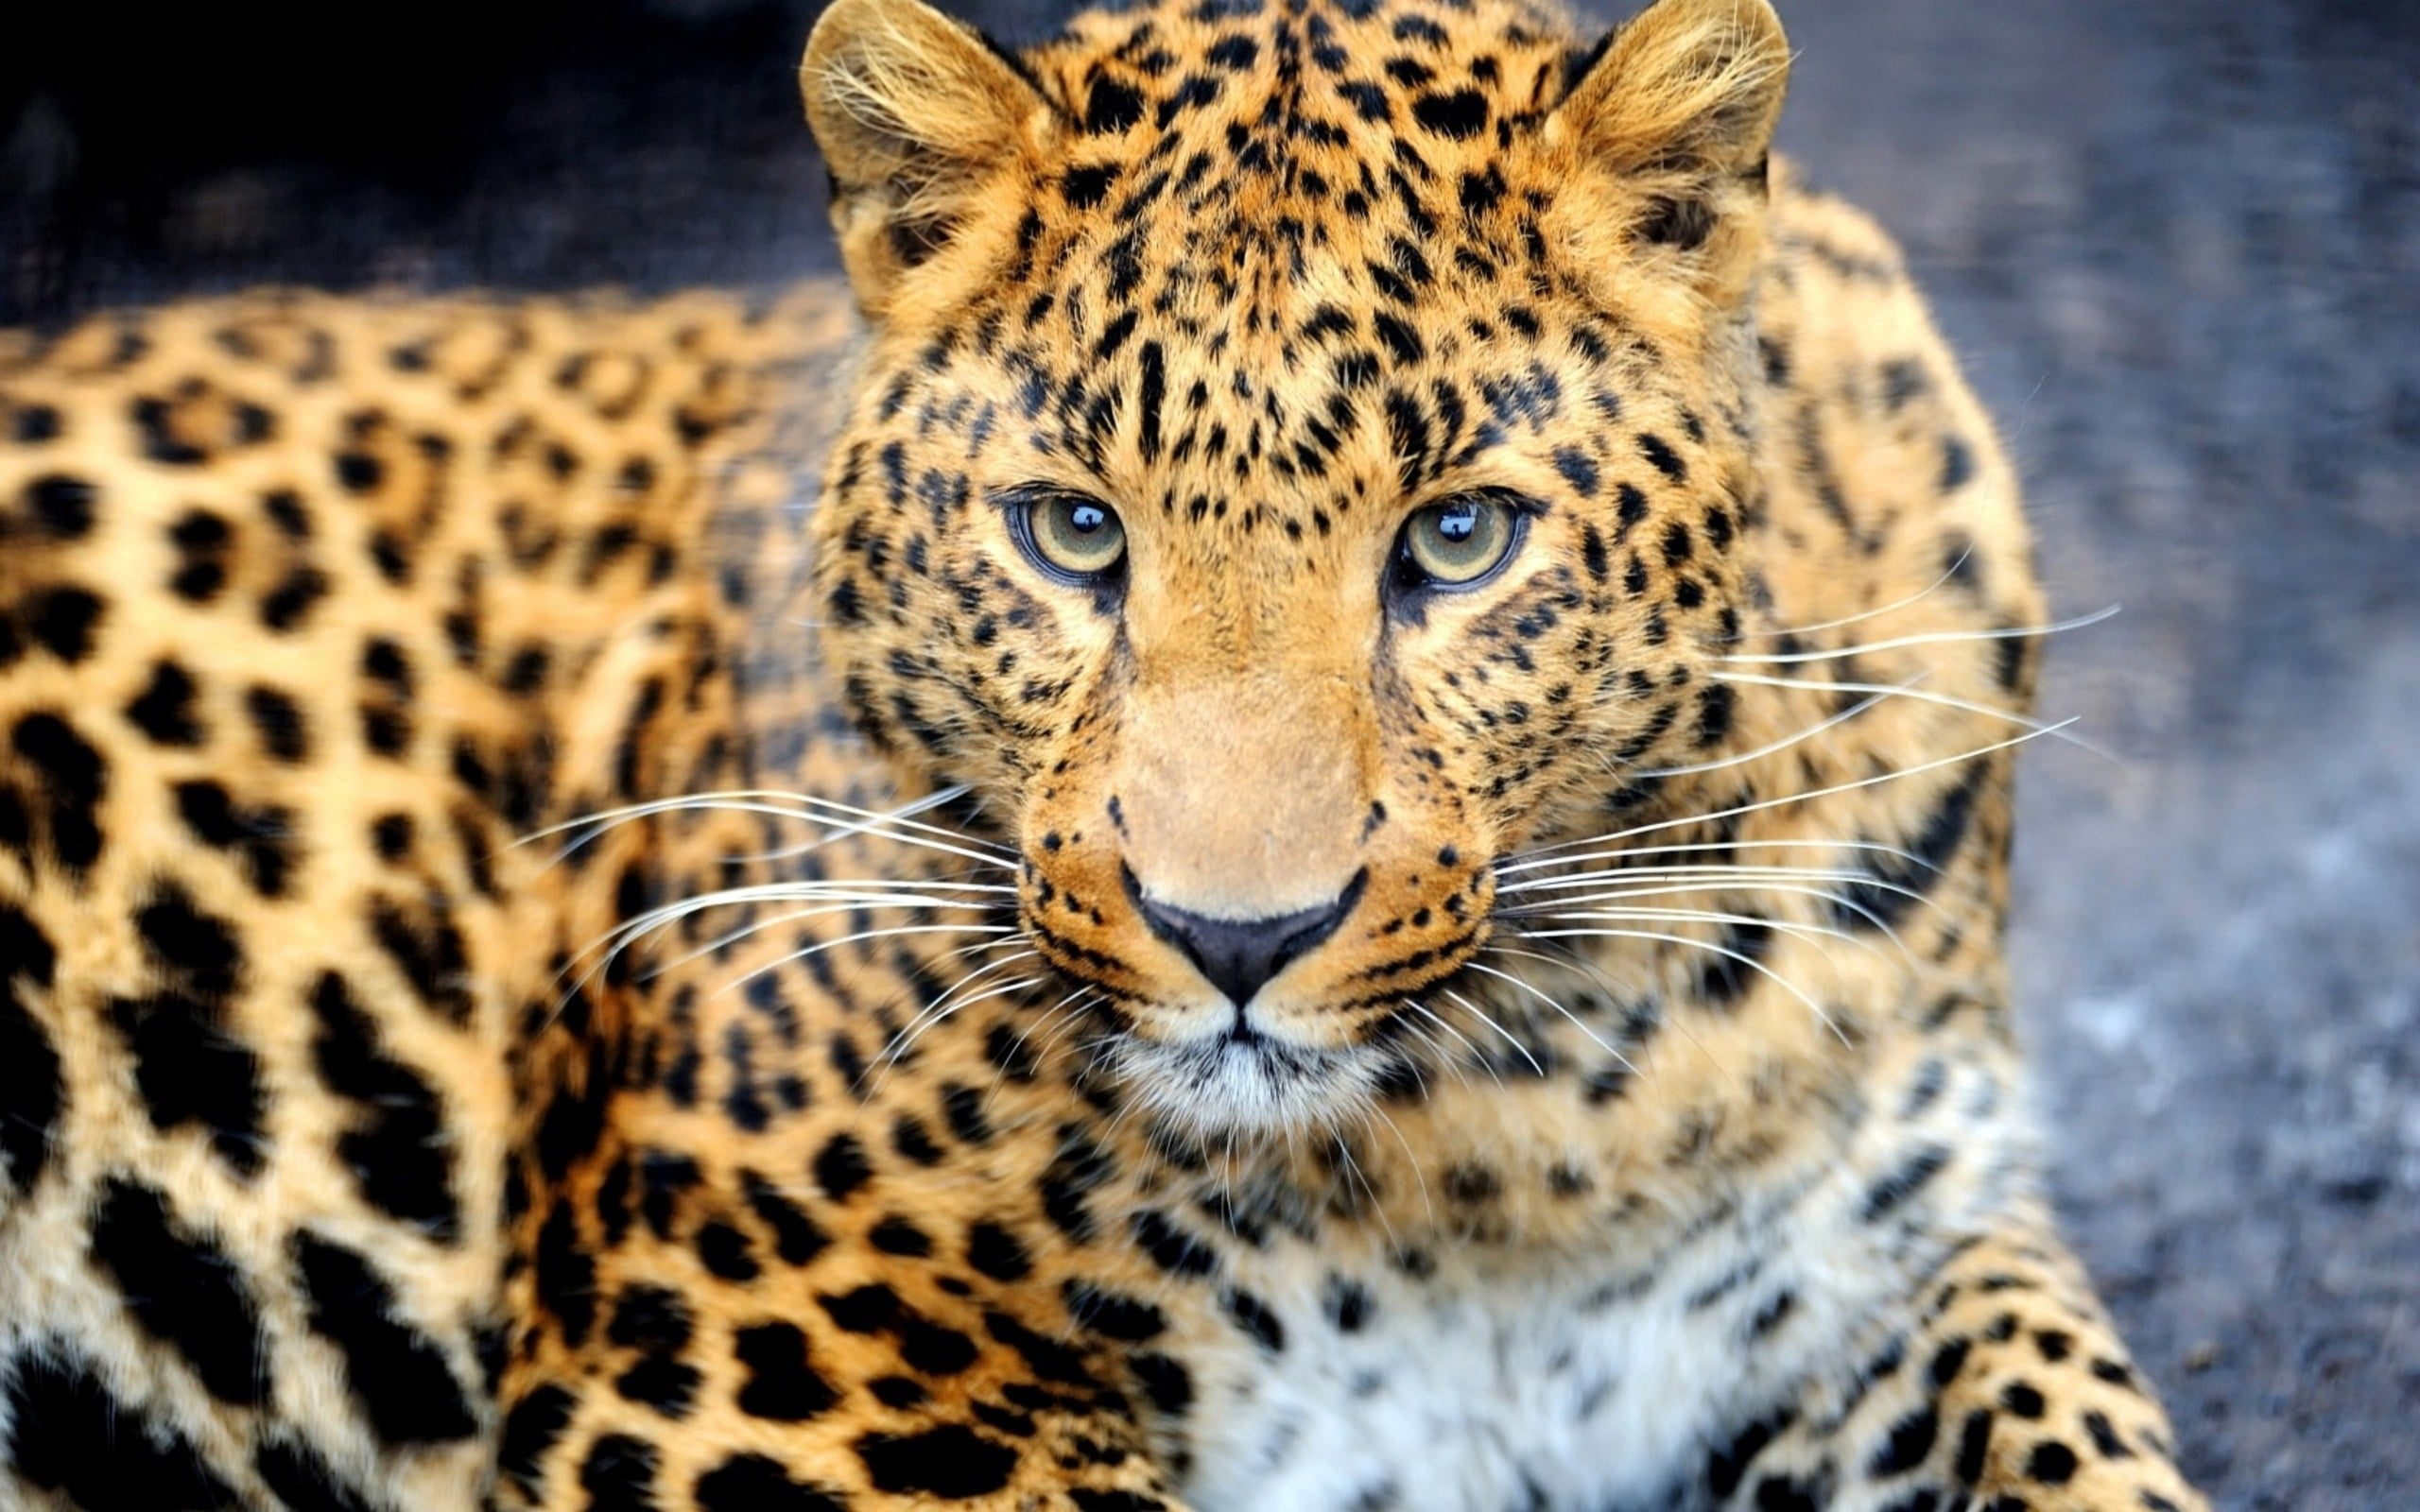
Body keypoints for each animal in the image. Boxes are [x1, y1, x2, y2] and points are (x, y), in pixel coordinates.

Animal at [0, 0, 2212, 1509]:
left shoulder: (1882, 1256)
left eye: (1457, 539)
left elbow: (2079, 1440)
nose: (1235, 939)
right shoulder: (771, 1371)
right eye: (1073, 532)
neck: (1513, 1134)